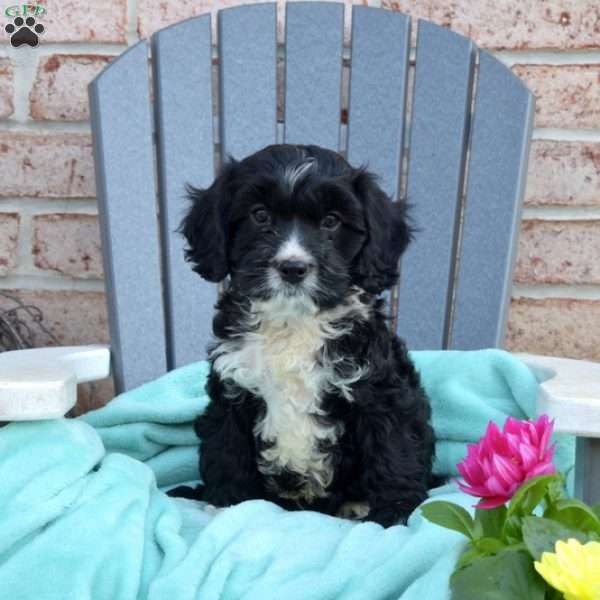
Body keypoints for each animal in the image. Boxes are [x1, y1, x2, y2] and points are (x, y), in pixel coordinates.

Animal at [176, 144, 434, 524]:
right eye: (260, 215)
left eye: (331, 221)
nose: (293, 268)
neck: (293, 323)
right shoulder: (232, 391)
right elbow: (227, 449)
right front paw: (228, 503)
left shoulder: (379, 393)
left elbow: (393, 450)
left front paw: (395, 513)